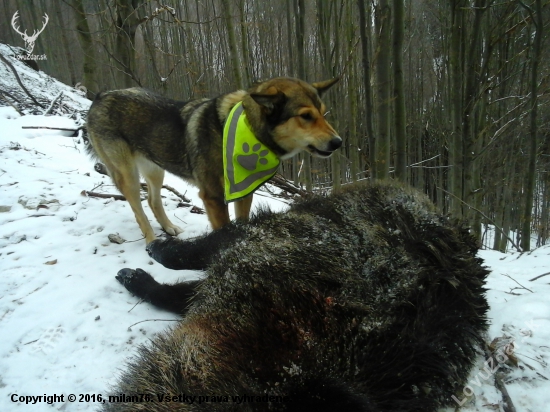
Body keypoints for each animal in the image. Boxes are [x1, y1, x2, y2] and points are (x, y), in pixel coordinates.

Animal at [87, 77, 342, 243]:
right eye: (306, 116)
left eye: (323, 113)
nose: (338, 142)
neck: (249, 129)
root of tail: (100, 96)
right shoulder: (213, 198)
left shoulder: (244, 192)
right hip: (127, 175)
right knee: (139, 210)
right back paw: (152, 241)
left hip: (155, 169)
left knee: (152, 200)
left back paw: (168, 228)